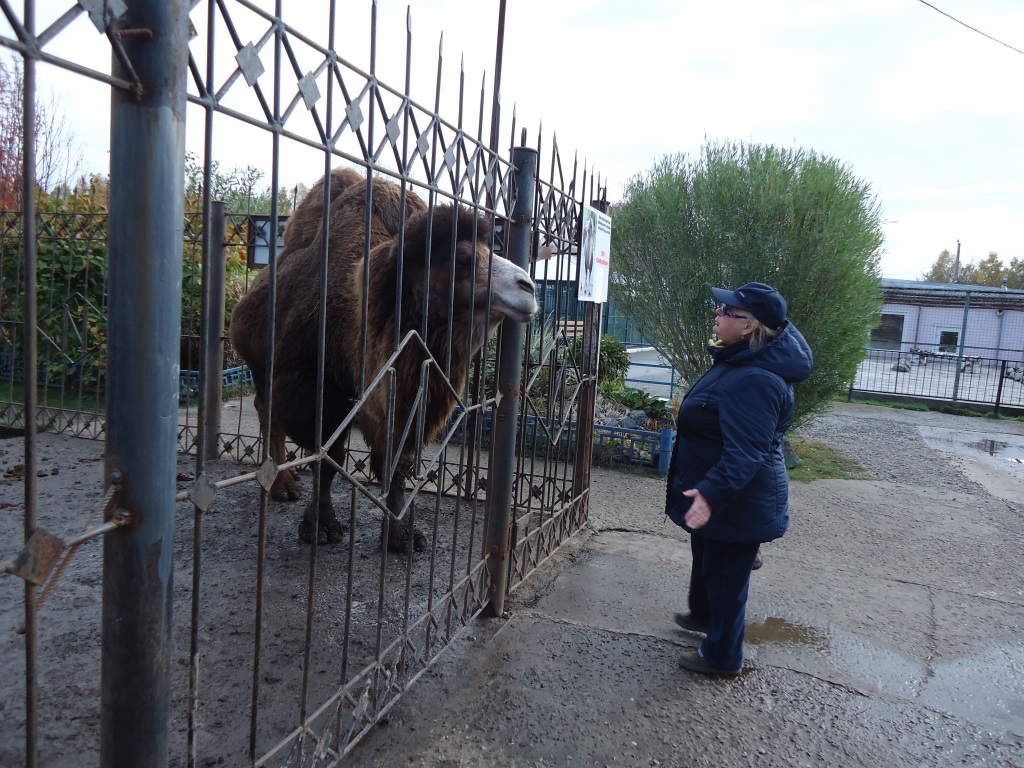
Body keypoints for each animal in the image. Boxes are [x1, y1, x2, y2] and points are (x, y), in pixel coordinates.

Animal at [229, 171, 540, 548]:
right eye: (462, 259)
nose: (529, 288)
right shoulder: (313, 386)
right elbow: (328, 457)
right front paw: (321, 527)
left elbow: (399, 462)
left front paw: (401, 537)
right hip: (260, 365)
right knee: (267, 412)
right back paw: (283, 486)